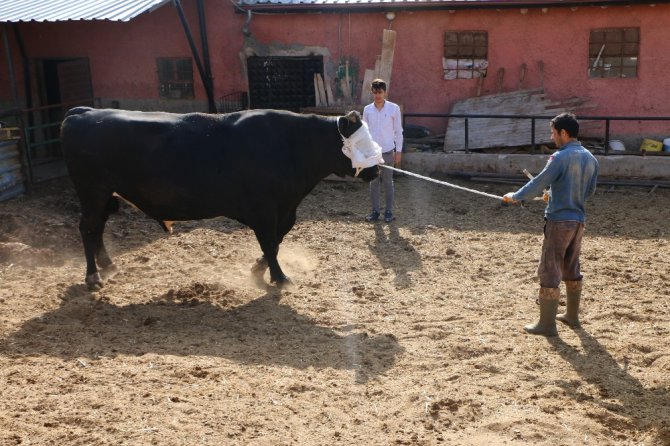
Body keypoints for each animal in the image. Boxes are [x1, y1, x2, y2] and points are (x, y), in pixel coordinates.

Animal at [60, 107, 380, 290]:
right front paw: (279, 278)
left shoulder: (285, 210)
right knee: (88, 229)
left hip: (102, 195)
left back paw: (108, 265)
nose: (377, 168)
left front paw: (258, 269)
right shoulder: (265, 210)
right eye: (363, 142)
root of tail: (81, 114)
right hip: (92, 192)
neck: (294, 145)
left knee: (97, 228)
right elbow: (269, 242)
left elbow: (275, 241)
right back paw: (93, 278)